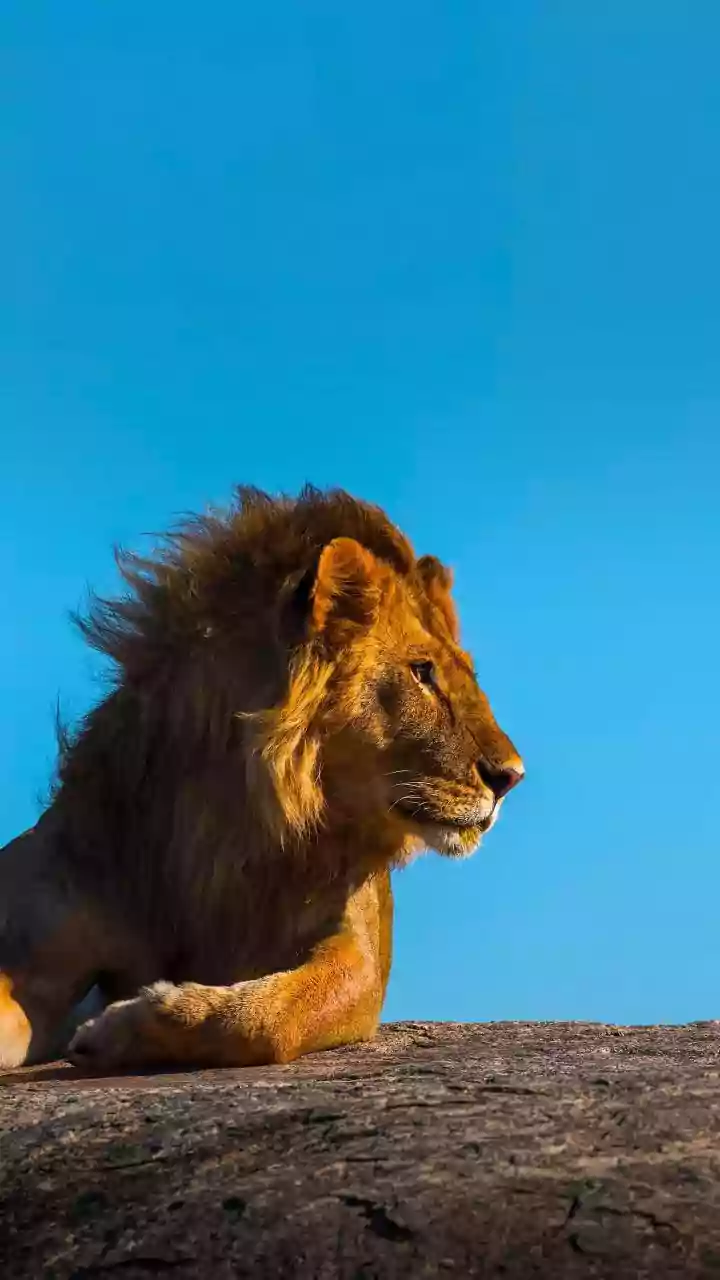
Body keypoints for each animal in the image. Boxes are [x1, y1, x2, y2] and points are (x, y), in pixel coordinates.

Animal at [0, 486, 523, 1072]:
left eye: (465, 674)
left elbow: (271, 1017)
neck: (224, 830)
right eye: (422, 672)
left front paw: (129, 1024)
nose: (511, 777)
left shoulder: (357, 950)